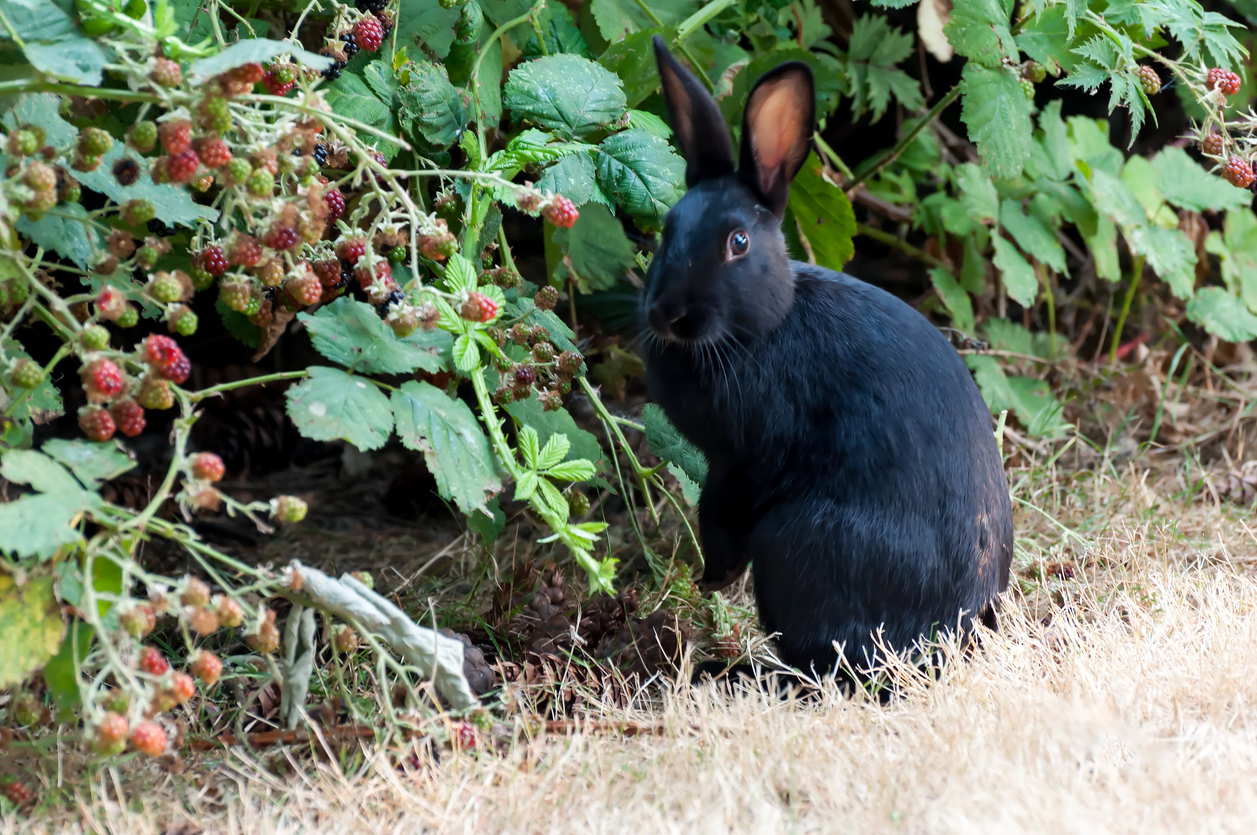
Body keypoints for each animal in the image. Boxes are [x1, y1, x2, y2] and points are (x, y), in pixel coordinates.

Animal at [643, 39, 1015, 679]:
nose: (669, 313)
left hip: (792, 542)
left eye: (737, 243)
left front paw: (712, 579)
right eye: (668, 229)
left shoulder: (741, 460)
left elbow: (719, 515)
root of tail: (953, 630)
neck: (762, 329)